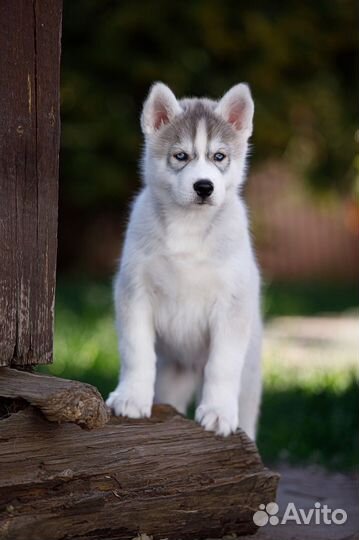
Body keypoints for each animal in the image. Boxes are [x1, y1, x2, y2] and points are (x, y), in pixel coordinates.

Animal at [107, 84, 262, 438]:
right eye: (181, 156)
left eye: (219, 156)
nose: (204, 187)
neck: (189, 227)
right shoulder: (134, 291)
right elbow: (136, 350)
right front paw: (131, 397)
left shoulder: (233, 304)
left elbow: (222, 364)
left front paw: (218, 412)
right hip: (172, 377)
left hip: (250, 380)